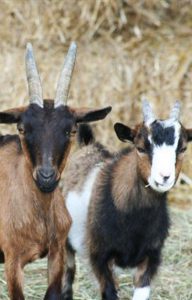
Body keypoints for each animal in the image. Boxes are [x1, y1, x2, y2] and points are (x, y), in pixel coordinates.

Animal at [62, 101, 191, 300]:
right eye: (141, 147)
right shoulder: (99, 256)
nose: (164, 177)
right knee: (67, 274)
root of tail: (87, 146)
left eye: (183, 148)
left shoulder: (151, 257)